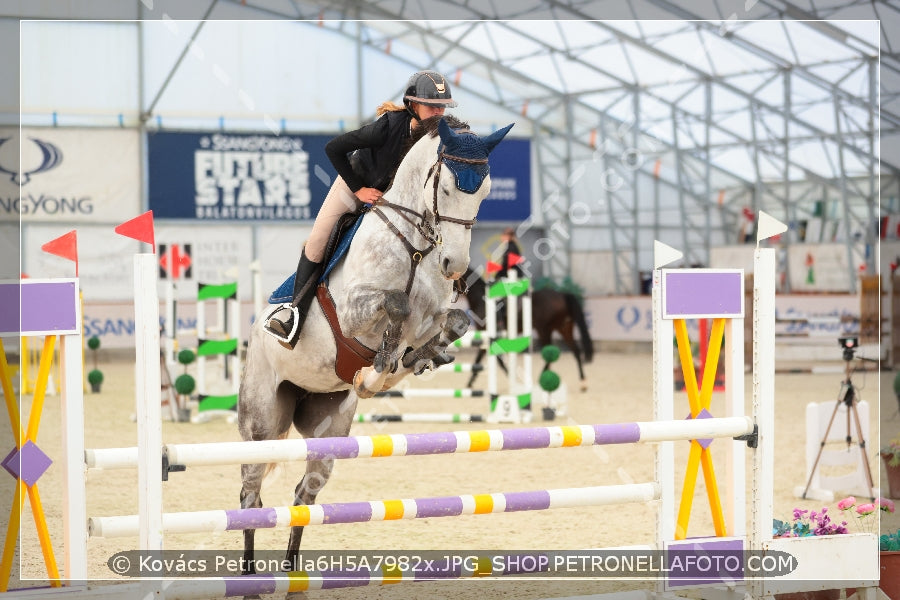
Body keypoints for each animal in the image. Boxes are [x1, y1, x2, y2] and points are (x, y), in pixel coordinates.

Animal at [237, 115, 512, 576]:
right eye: (446, 188)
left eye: (486, 192)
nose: (454, 266)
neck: (417, 248)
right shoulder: (351, 312)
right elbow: (396, 302)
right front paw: (375, 373)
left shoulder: (434, 315)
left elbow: (450, 323)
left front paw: (406, 363)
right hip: (262, 422)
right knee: (250, 493)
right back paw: (248, 575)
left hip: (327, 424)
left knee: (304, 494)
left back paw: (291, 574)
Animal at [460, 268, 596, 392]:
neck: (482, 300)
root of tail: (562, 295)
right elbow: (479, 359)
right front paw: (470, 383)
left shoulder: (489, 336)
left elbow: (497, 361)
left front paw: (512, 380)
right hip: (564, 328)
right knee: (576, 351)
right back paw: (583, 382)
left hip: (544, 330)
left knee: (550, 353)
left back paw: (540, 380)